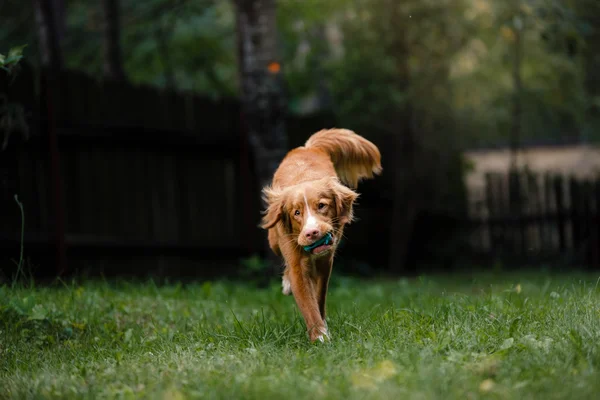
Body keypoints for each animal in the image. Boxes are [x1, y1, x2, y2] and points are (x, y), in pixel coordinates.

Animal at [258, 128, 380, 340]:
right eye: (296, 212)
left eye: (322, 205)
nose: (312, 233)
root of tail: (308, 147)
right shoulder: (297, 262)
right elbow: (307, 302)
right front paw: (319, 336)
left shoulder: (325, 261)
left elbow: (318, 298)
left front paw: (322, 328)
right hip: (273, 240)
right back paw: (286, 283)